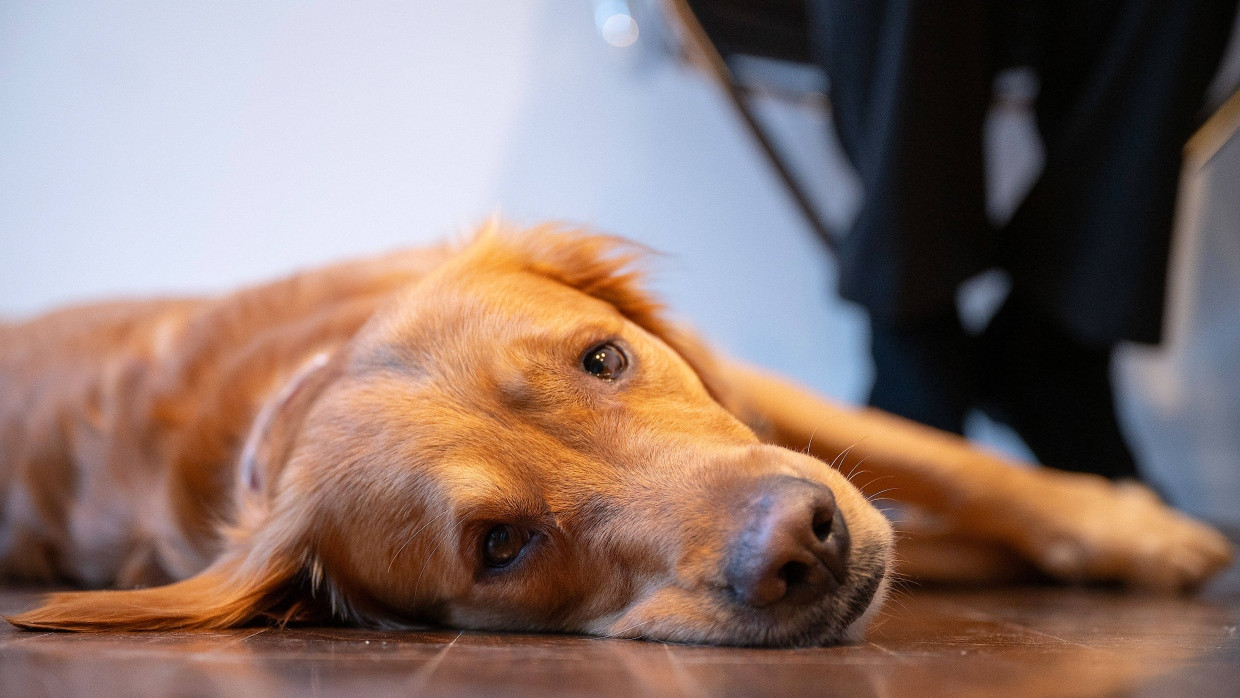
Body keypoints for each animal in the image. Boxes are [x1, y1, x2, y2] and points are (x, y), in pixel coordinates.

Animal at [0, 226, 1230, 649]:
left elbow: (945, 456)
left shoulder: (762, 393)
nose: (808, 539)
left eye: (605, 358)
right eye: (499, 545)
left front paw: (1133, 530)